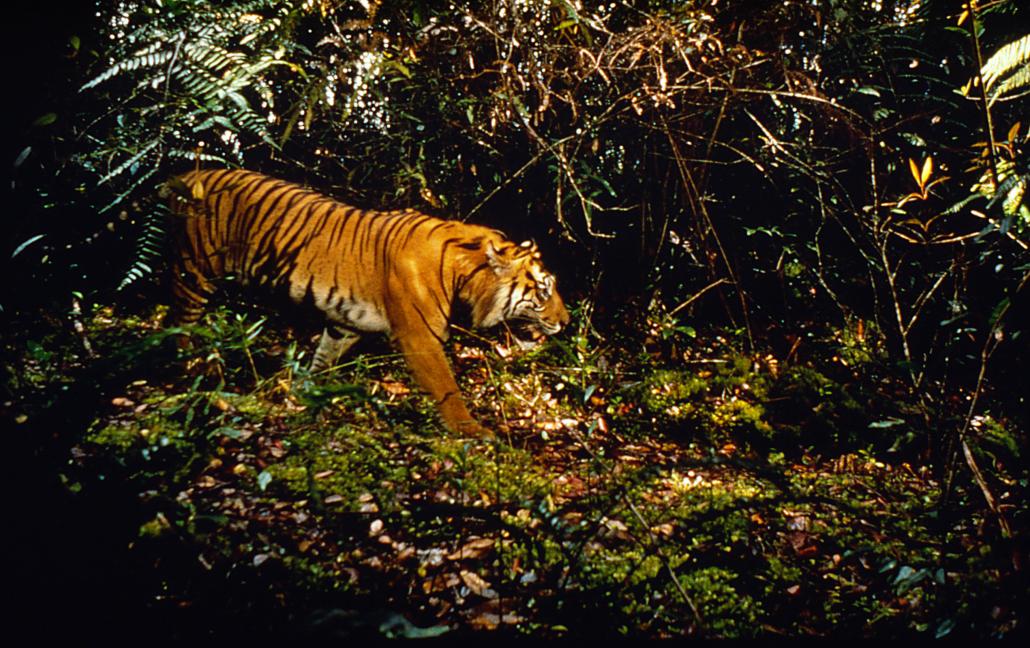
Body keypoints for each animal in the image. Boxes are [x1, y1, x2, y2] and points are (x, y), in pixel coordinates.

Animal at [166, 168, 572, 436]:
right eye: (543, 291)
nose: (567, 322)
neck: (463, 271)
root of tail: (190, 172)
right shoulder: (419, 338)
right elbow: (447, 387)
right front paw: (471, 430)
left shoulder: (345, 322)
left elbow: (322, 359)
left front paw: (304, 395)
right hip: (195, 272)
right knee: (180, 322)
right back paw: (193, 371)